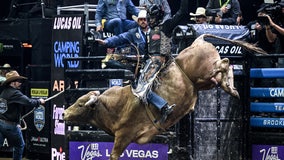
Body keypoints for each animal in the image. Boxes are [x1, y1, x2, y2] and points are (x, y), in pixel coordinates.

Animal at [63, 34, 266, 159]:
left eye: (80, 104)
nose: (64, 114)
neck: (114, 106)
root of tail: (198, 41)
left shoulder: (123, 136)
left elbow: (114, 154)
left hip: (205, 71)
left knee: (224, 62)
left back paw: (229, 84)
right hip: (203, 82)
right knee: (222, 72)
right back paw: (231, 88)